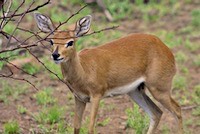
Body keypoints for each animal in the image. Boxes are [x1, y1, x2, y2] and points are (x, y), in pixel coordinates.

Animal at [34, 12, 183, 134]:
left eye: (70, 42)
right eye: (51, 40)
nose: (55, 55)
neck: (83, 70)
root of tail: (165, 48)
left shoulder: (96, 96)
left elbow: (90, 128)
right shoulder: (79, 98)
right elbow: (76, 127)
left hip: (159, 89)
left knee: (177, 110)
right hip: (135, 91)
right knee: (156, 113)